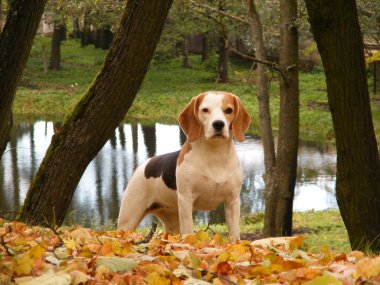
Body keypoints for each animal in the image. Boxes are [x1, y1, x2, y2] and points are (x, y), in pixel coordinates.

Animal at [117, 91, 251, 240]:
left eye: (228, 110)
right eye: (205, 110)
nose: (218, 124)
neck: (215, 155)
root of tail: (145, 164)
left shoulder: (232, 201)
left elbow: (234, 234)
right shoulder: (186, 200)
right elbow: (188, 230)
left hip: (173, 223)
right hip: (127, 221)